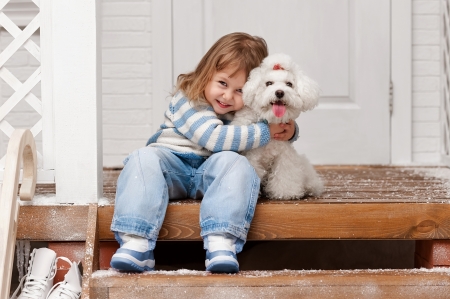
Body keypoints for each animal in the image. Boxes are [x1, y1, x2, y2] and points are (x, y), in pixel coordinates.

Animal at [232, 53, 324, 200]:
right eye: (268, 83)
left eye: (289, 84)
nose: (279, 92)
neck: (270, 119)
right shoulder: (252, 157)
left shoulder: (284, 156)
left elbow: (284, 175)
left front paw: (286, 193)